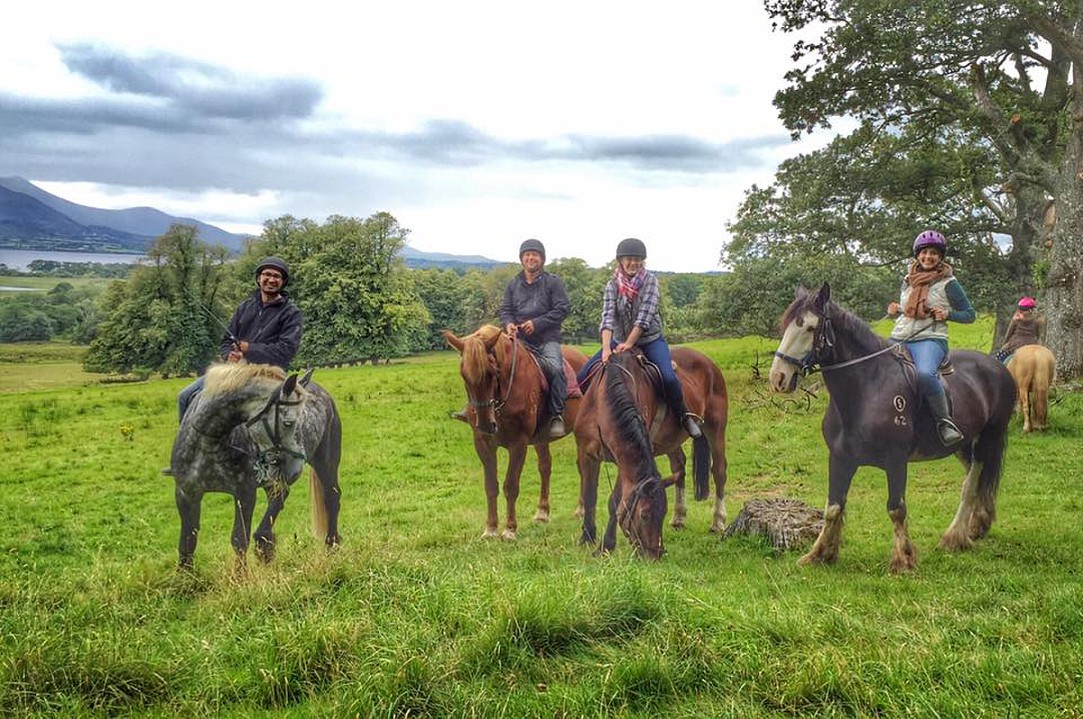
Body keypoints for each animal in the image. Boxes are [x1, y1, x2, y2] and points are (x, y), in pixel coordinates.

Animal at [170, 365, 342, 571]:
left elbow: (239, 539)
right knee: (279, 497)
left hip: (325, 463)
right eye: (288, 422)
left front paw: (241, 577)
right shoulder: (186, 494)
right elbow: (187, 541)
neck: (210, 442)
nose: (295, 471)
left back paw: (332, 546)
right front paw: (185, 577)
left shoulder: (244, 493)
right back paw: (265, 543)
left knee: (332, 497)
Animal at [441, 324, 589, 539]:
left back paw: (582, 509)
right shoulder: (483, 444)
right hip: (541, 438)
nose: (485, 424)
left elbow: (511, 485)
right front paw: (491, 528)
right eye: (464, 376)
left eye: (492, 372)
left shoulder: (518, 444)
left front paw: (510, 529)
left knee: (583, 466)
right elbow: (490, 486)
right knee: (545, 466)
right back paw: (542, 512)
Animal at [576, 342, 727, 554]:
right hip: (671, 441)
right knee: (679, 467)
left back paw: (718, 521)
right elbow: (589, 495)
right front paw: (587, 537)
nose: (656, 553)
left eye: (662, 513)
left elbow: (615, 501)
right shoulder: (585, 452)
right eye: (645, 514)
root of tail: (709, 363)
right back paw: (679, 517)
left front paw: (606, 545)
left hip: (716, 427)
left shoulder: (623, 460)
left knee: (719, 471)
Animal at [771, 285, 1013, 571]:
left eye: (809, 327)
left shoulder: (895, 460)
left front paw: (903, 559)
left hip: (988, 439)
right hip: (963, 445)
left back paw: (953, 537)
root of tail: (997, 366)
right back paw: (976, 526)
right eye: (785, 325)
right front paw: (819, 554)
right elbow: (833, 507)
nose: (778, 378)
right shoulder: (840, 459)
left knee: (972, 484)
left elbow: (896, 508)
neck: (867, 389)